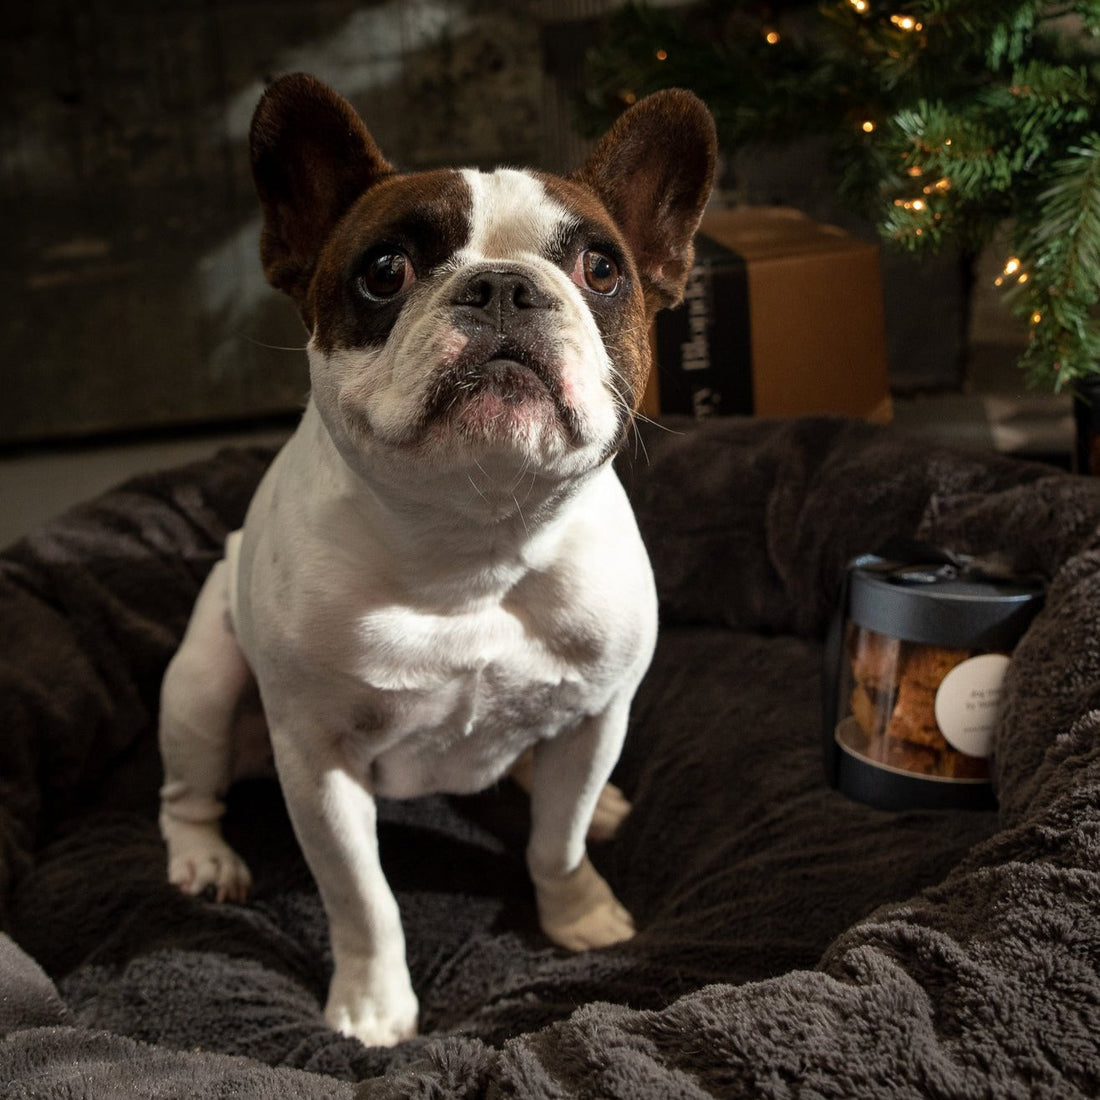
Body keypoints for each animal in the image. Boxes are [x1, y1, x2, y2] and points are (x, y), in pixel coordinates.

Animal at [159, 73, 717, 1042]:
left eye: (601, 270)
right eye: (385, 272)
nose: (501, 287)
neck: (476, 544)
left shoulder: (597, 716)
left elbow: (556, 841)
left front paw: (578, 914)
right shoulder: (320, 761)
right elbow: (363, 899)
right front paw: (374, 1007)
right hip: (199, 683)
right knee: (186, 791)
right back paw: (205, 860)